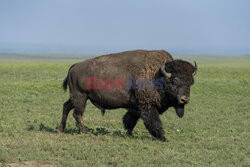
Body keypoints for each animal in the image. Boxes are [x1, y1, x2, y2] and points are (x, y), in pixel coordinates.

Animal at [57, 49, 196, 142]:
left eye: (191, 82)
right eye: (174, 81)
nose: (184, 99)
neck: (158, 76)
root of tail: (75, 66)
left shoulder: (136, 107)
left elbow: (131, 121)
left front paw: (128, 135)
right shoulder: (147, 105)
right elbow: (154, 122)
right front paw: (163, 138)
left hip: (77, 97)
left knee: (66, 107)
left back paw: (61, 129)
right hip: (81, 97)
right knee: (77, 114)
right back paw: (84, 132)